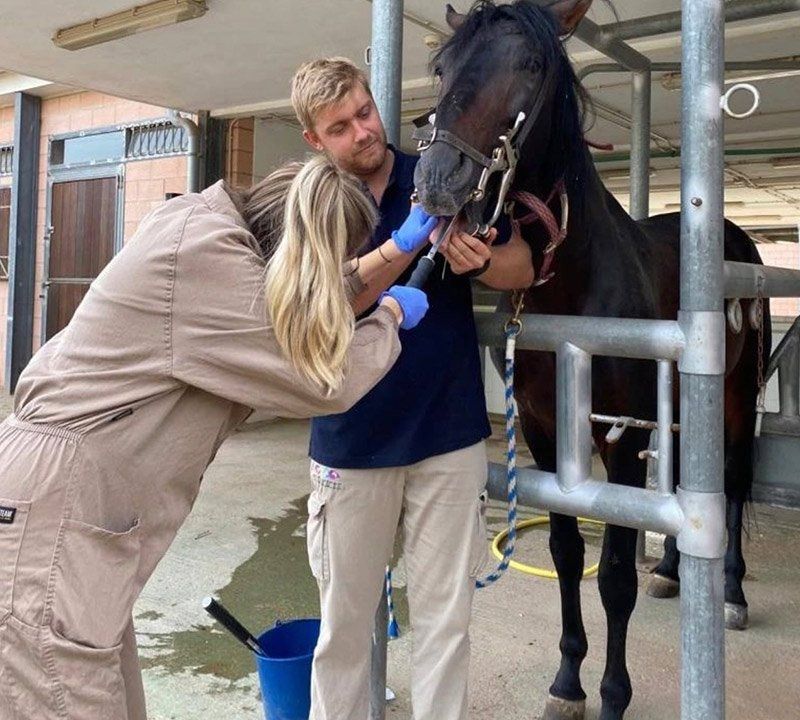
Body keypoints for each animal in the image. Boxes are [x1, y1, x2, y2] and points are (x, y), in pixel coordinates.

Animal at [412, 2, 771, 719]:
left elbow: (612, 576)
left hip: (735, 398)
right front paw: (567, 681)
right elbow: (566, 550)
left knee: (733, 482)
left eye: (529, 64)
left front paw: (612, 694)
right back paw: (671, 573)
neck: (572, 283)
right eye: (442, 66)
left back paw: (732, 594)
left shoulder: (622, 441)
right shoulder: (547, 434)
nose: (439, 182)